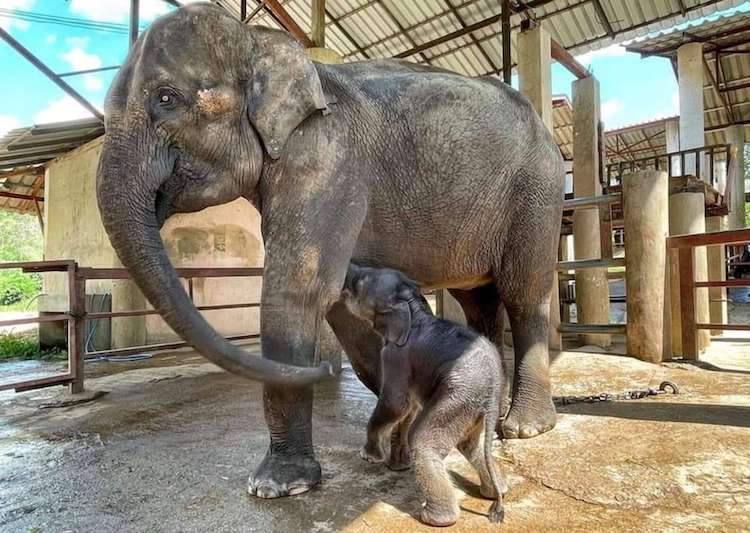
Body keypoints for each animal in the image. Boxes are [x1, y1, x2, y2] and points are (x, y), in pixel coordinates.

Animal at [96, 3, 564, 499]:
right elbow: (340, 301)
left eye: (166, 99)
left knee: (524, 294)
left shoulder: (327, 159)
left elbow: (296, 293)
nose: (320, 371)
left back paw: (525, 428)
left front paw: (277, 487)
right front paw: (396, 441)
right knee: (477, 299)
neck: (260, 41)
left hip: (537, 191)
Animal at [342, 263, 506, 526]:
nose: (349, 266)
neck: (413, 306)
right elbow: (409, 406)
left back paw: (430, 517)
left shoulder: (396, 355)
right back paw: (495, 491)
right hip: (471, 408)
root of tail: (492, 390)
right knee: (469, 444)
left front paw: (369, 457)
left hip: (458, 399)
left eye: (361, 282)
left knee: (423, 440)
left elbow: (396, 403)